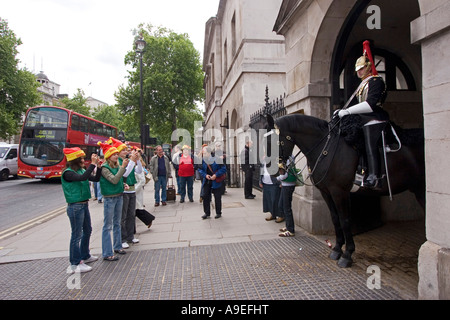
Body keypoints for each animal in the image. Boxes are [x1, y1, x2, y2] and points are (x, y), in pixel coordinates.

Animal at [268, 113, 426, 268]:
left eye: (272, 141)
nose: (273, 172)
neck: (326, 149)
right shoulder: (326, 192)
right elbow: (335, 218)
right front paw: (337, 249)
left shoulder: (339, 192)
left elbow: (345, 220)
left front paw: (347, 255)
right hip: (417, 189)